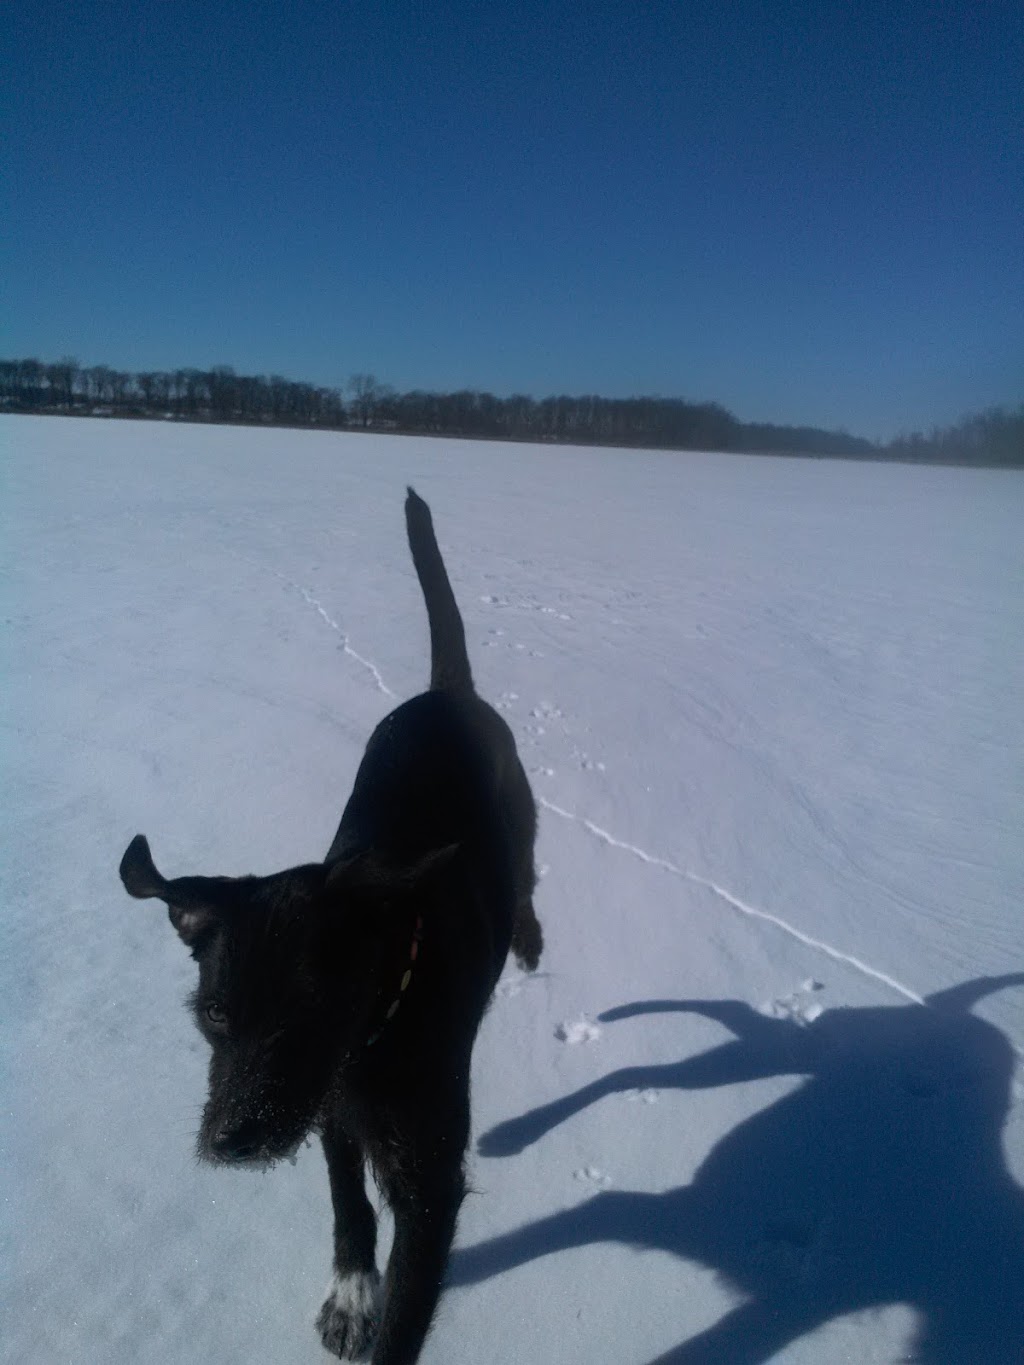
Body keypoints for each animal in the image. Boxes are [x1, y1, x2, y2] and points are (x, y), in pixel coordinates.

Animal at [120, 485, 546, 1359]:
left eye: (311, 1008)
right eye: (214, 1014)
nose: (228, 1139)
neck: (378, 1025)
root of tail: (448, 692)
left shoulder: (429, 1180)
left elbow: (408, 1315)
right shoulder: (326, 1105)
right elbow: (348, 1198)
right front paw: (351, 1289)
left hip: (521, 820)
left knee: (528, 874)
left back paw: (528, 936)